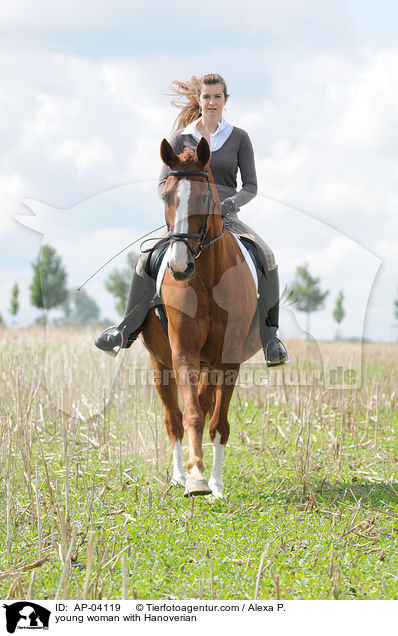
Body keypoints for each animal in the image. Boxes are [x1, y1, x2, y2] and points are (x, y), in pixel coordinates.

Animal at [141, 138, 262, 496]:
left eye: (205, 198)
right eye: (166, 196)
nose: (180, 267)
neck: (207, 280)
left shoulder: (229, 358)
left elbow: (218, 422)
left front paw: (216, 484)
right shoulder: (183, 352)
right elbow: (191, 414)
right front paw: (195, 478)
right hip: (160, 363)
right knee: (173, 418)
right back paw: (179, 475)